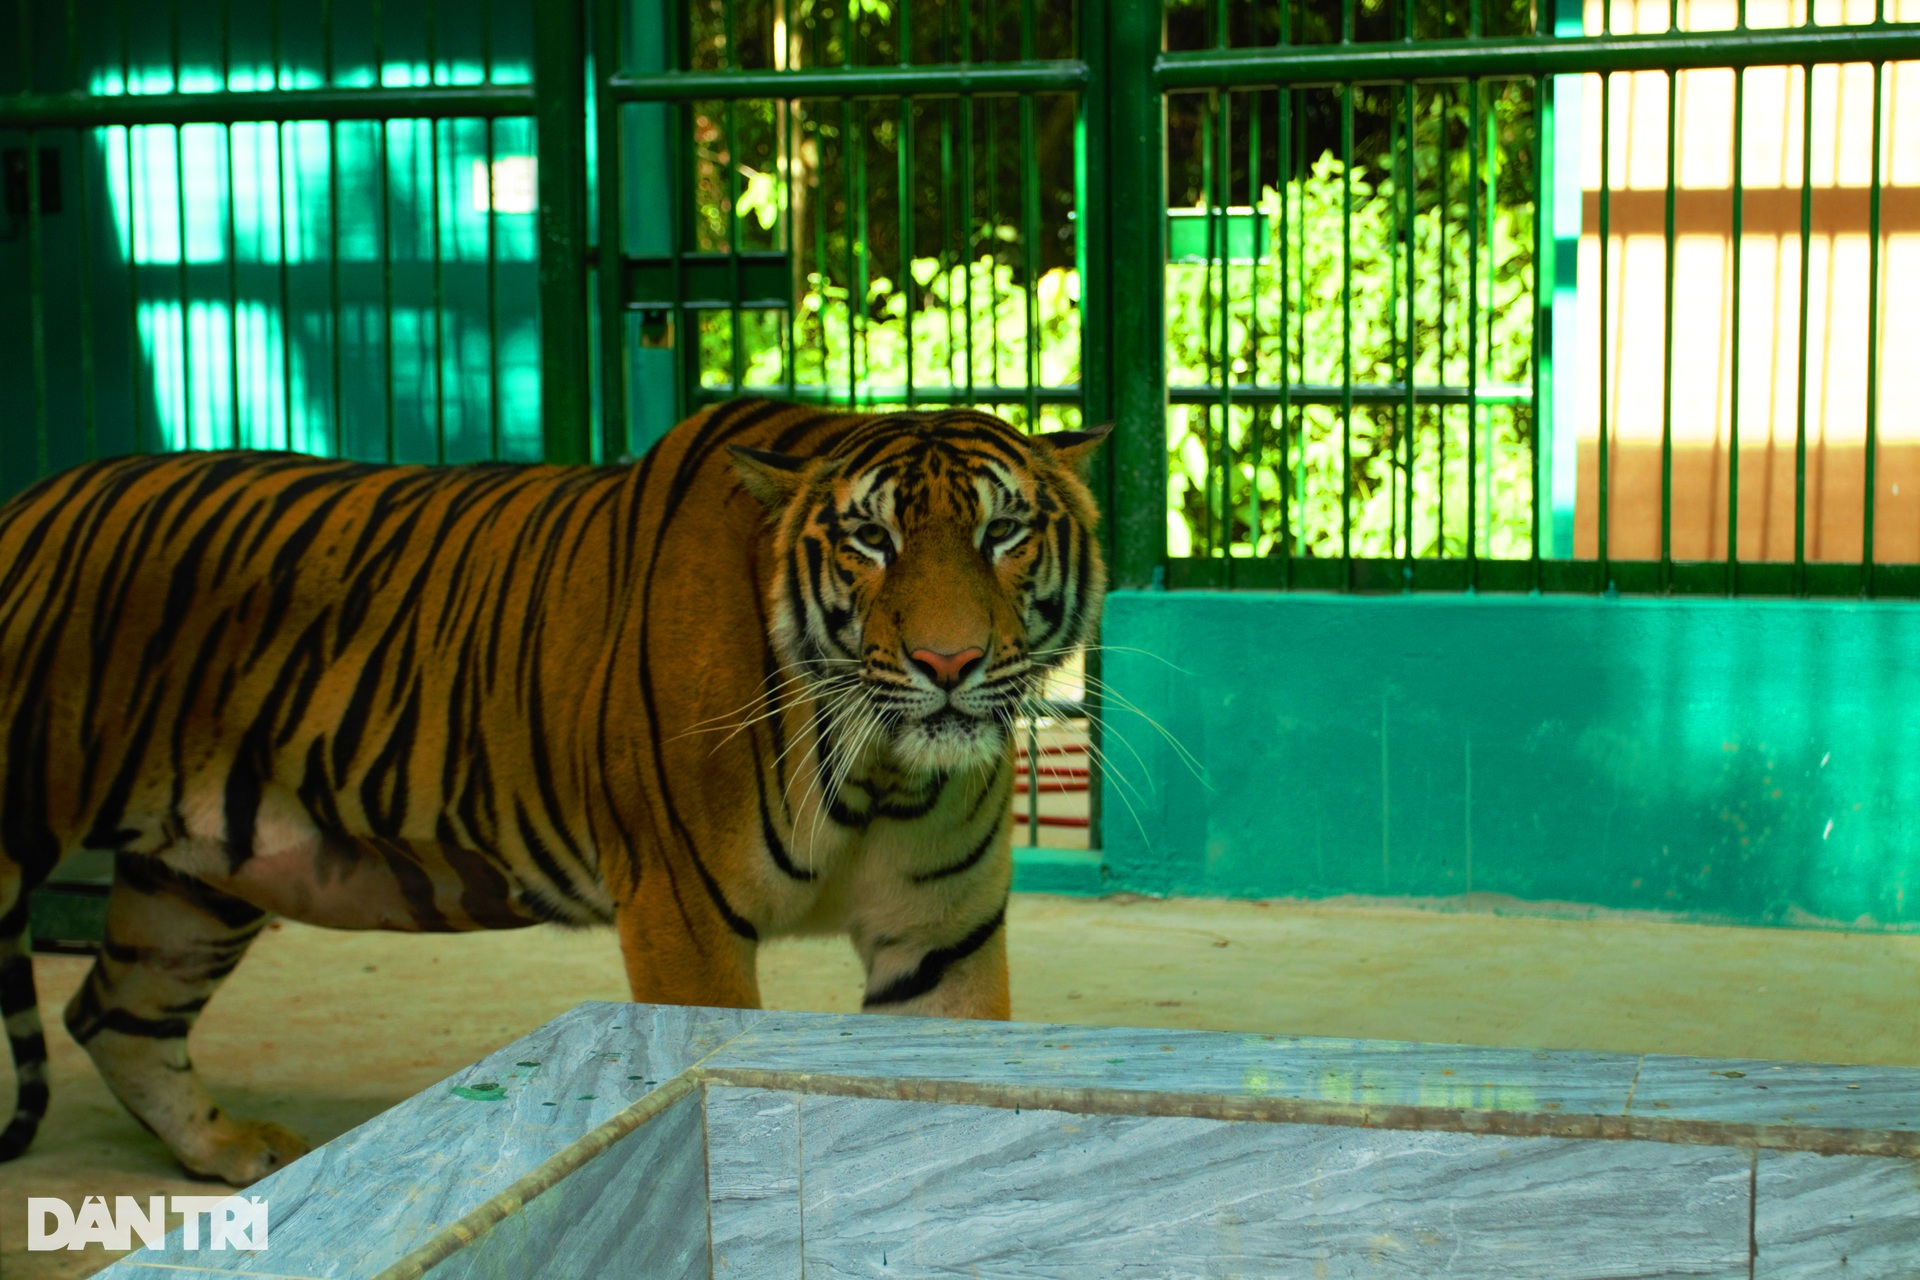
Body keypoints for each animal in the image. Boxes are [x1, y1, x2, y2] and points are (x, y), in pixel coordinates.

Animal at [0, 397, 1113, 1182]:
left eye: (1004, 533)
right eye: (871, 540)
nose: (948, 662)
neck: (883, 769)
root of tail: (20, 501)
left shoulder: (942, 935)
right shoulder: (683, 915)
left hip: (198, 873)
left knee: (114, 1013)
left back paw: (232, 1151)